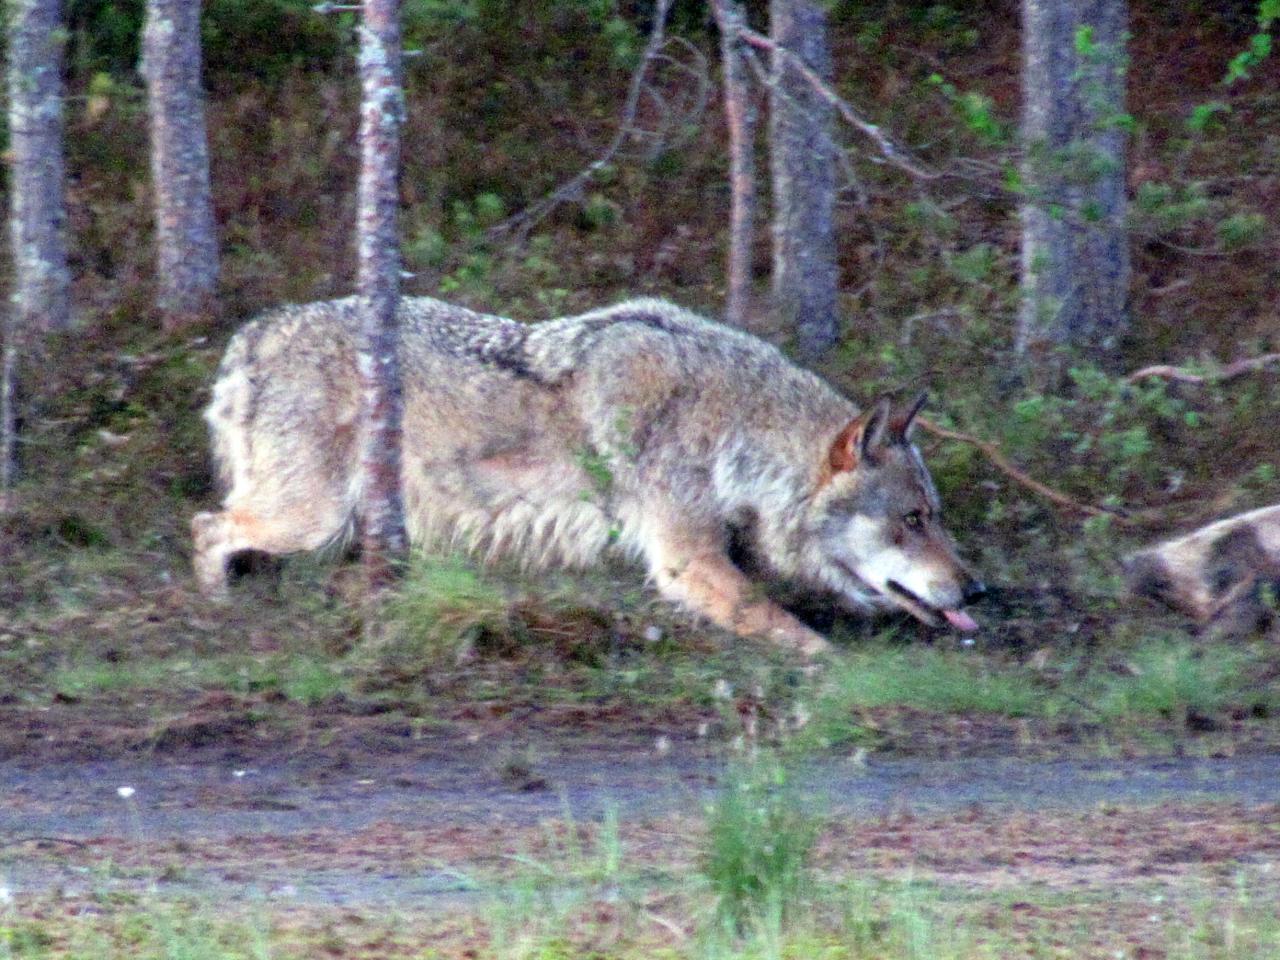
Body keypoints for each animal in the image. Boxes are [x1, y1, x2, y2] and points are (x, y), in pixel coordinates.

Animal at [192, 296, 977, 660]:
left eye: (934, 514)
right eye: (913, 520)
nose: (977, 591)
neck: (735, 433)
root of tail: (253, 333)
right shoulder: (686, 560)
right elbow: (793, 633)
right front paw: (847, 672)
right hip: (309, 519)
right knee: (206, 527)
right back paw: (218, 613)